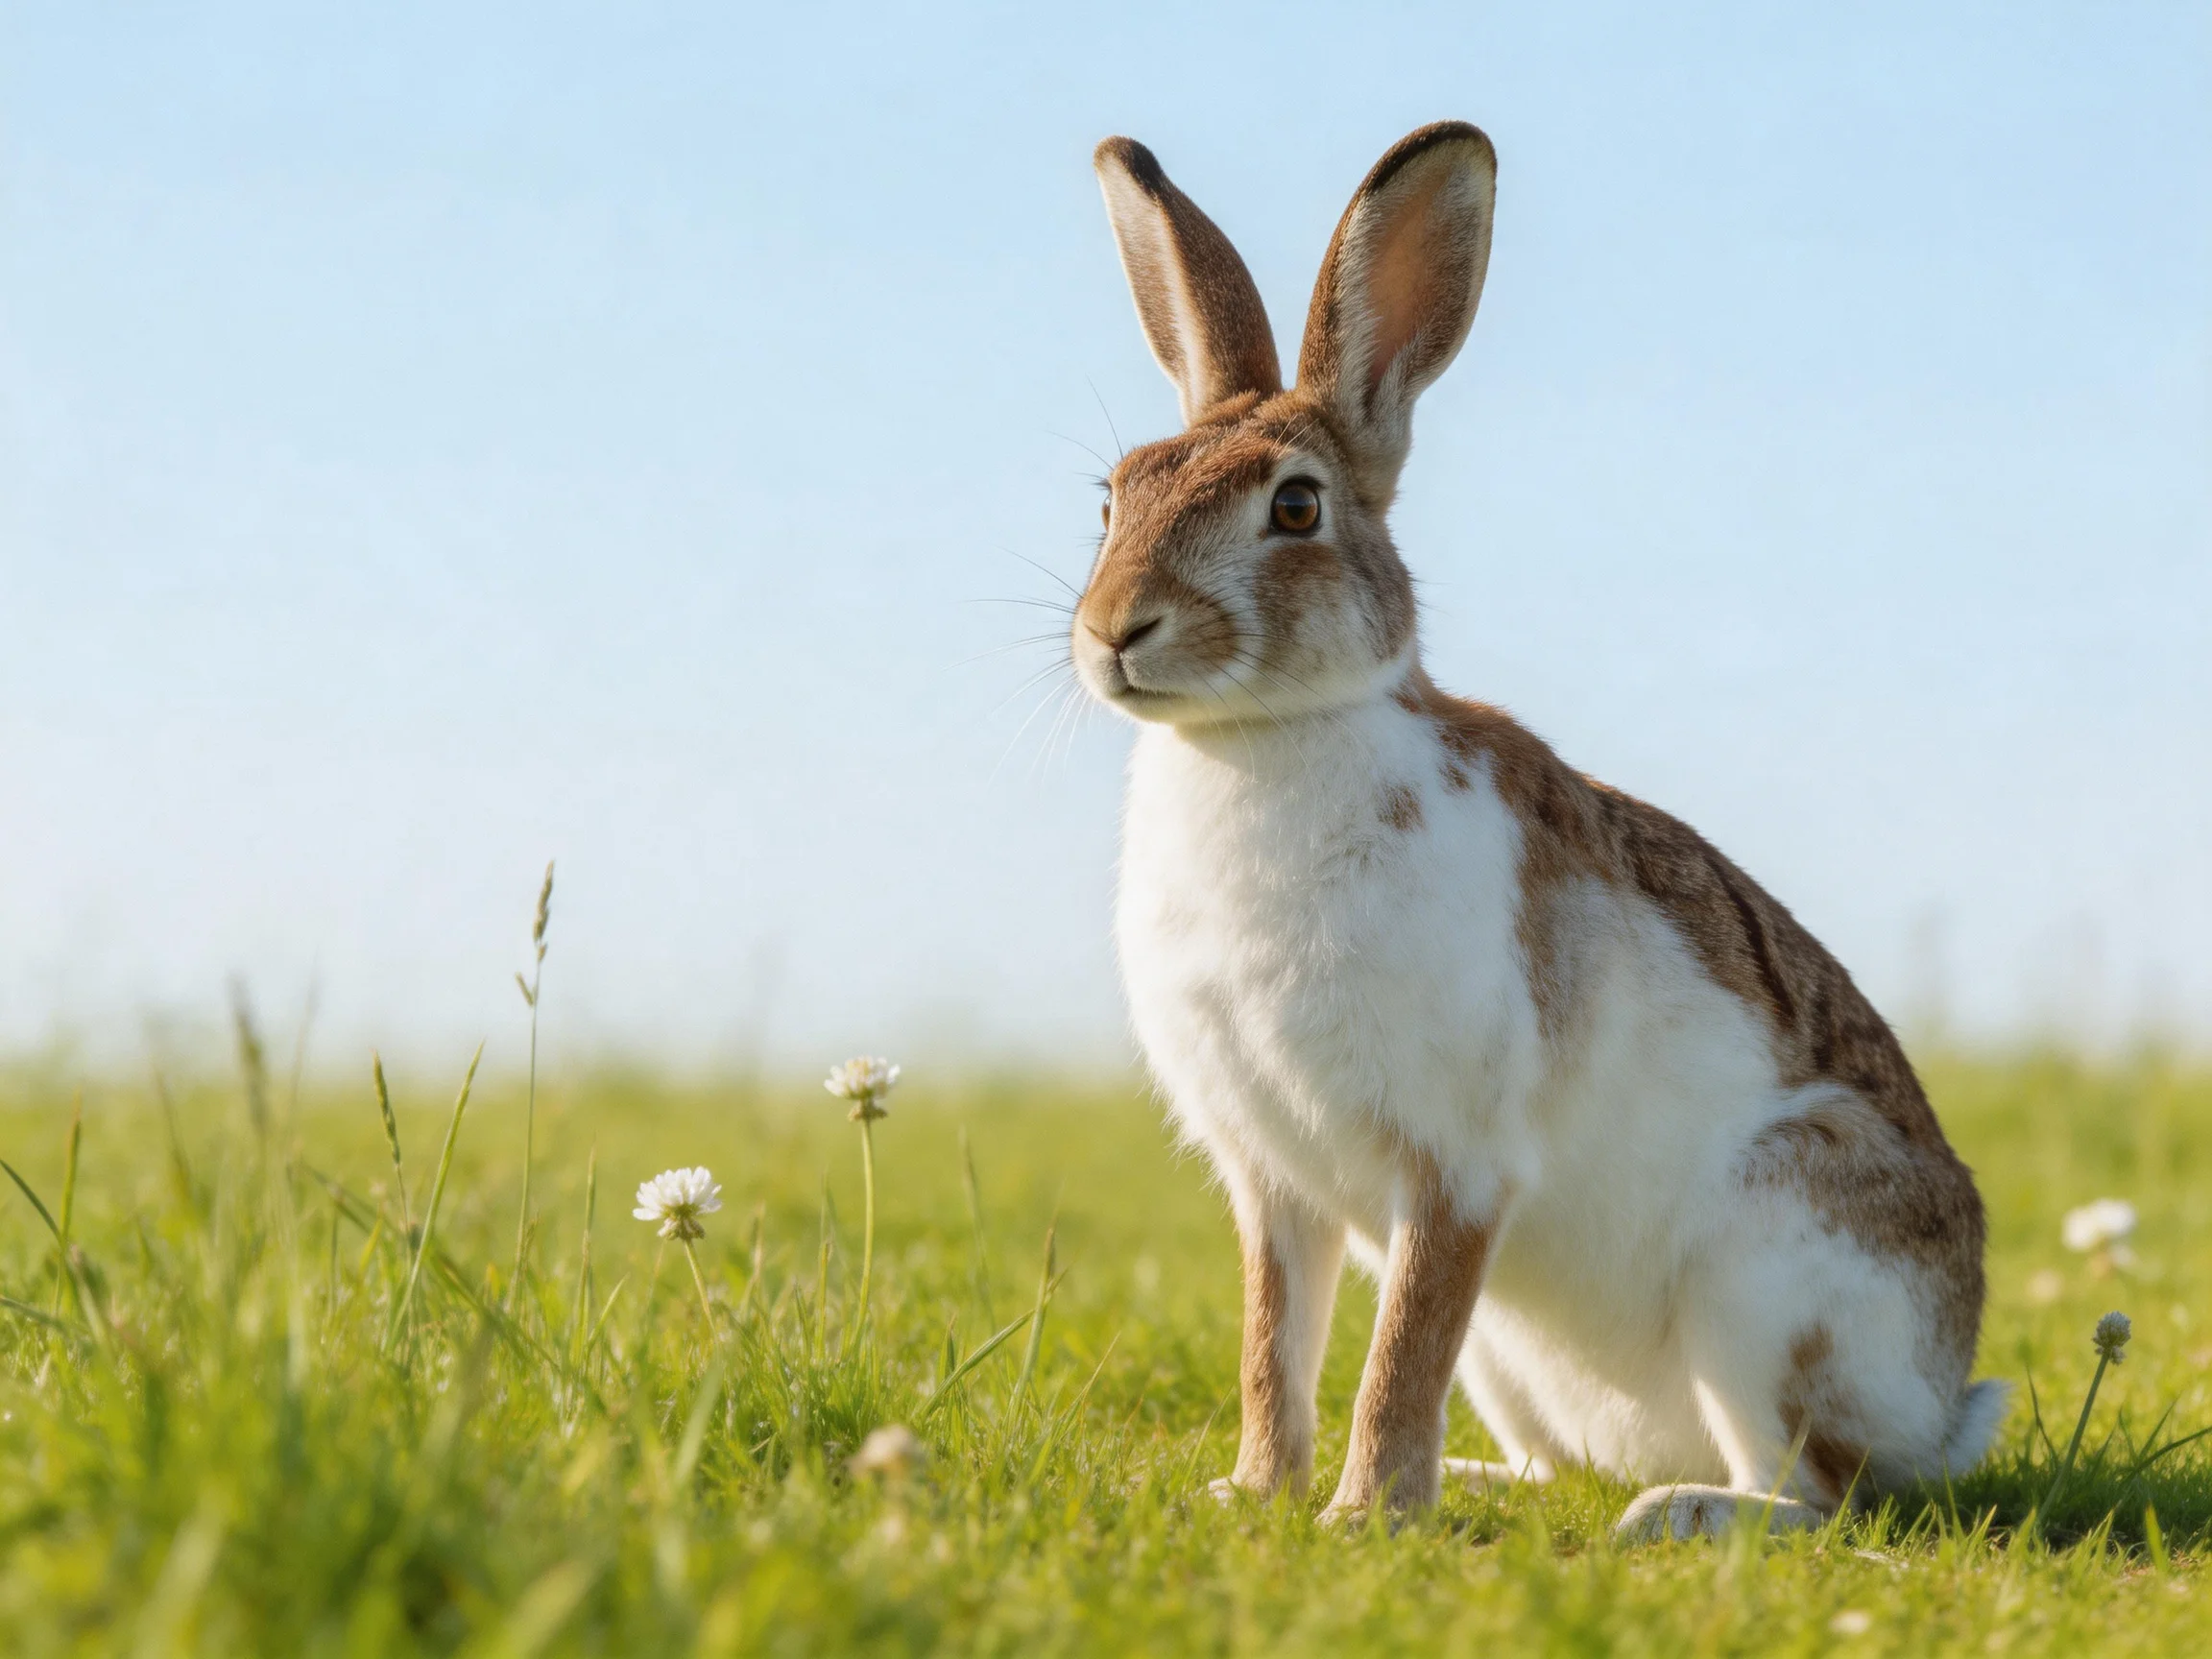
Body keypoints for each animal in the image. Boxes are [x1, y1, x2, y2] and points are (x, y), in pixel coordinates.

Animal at [1069, 122, 2004, 1541]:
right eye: (1111, 499)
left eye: (1296, 508)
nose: (1116, 629)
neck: (1263, 738)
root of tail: (1946, 1406)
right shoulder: (1272, 1182)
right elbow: (1274, 1347)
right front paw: (1252, 1495)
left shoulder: (1456, 1168)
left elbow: (1397, 1351)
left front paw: (1360, 1517)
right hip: (1522, 1357)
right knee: (1563, 1461)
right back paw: (1486, 1485)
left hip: (1765, 1276)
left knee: (1818, 1492)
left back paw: (1678, 1514)